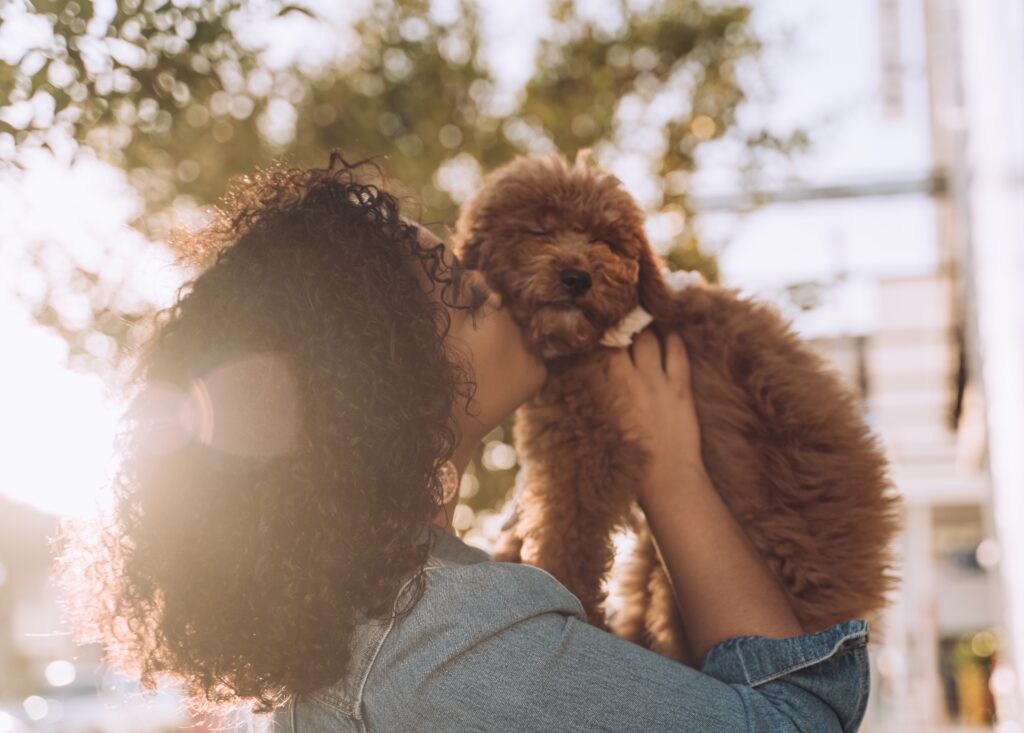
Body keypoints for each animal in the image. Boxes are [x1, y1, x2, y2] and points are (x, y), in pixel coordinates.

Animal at [452, 153, 901, 663]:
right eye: (539, 231)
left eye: (607, 242)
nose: (577, 277)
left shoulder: (589, 448)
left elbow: (566, 533)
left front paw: (562, 588)